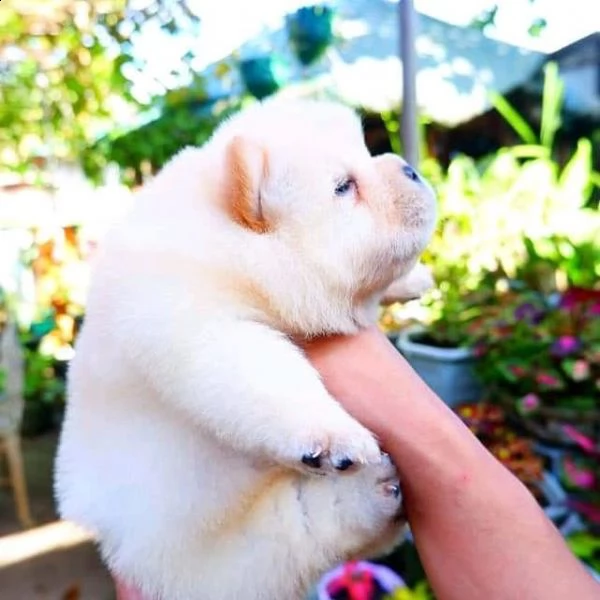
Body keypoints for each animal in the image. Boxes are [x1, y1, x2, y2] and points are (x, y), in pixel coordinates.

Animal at [55, 98, 436, 600]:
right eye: (344, 187)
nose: (410, 168)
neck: (230, 247)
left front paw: (414, 280)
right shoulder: (198, 325)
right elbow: (272, 375)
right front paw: (332, 431)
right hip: (206, 559)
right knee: (293, 536)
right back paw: (366, 490)